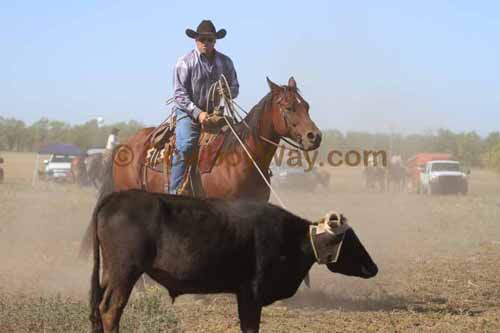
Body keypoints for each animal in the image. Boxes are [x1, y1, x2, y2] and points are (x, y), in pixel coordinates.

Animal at [83, 189, 378, 332]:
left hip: (110, 274)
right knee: (110, 308)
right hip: (125, 272)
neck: (289, 237)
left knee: (99, 306)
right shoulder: (252, 292)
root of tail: (116, 197)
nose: (373, 267)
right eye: (350, 240)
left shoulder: (242, 293)